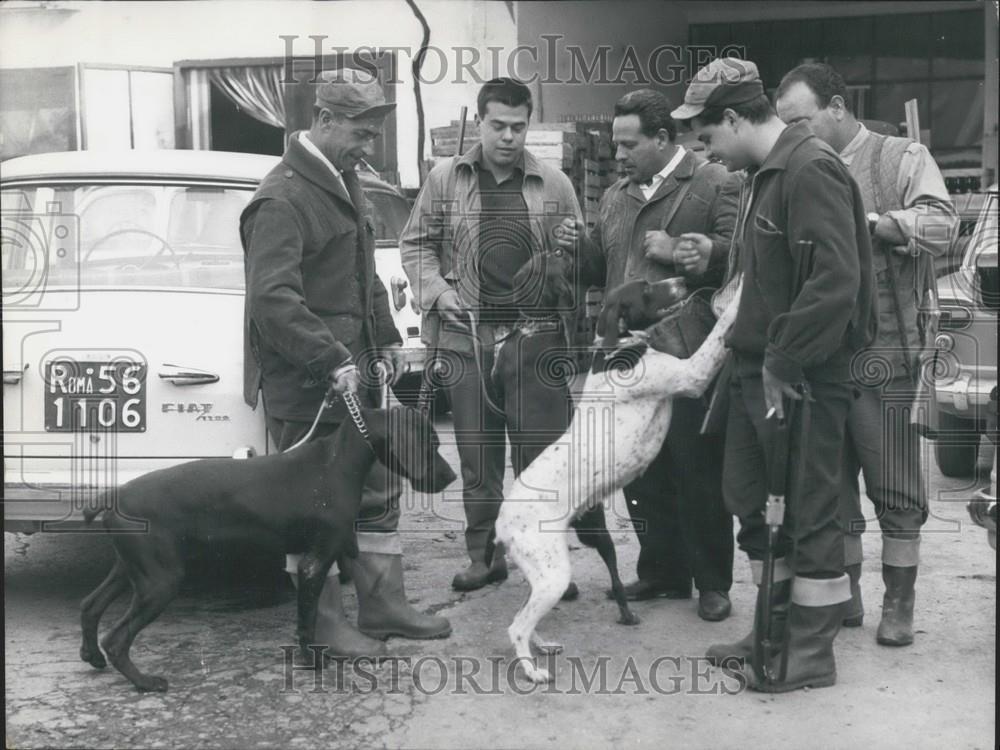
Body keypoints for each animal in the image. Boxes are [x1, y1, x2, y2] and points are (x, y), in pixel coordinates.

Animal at [494, 280, 744, 680]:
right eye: (646, 287)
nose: (682, 281)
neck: (617, 352)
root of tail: (502, 524)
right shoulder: (691, 374)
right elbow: (720, 331)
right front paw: (738, 291)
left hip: (542, 571)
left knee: (524, 616)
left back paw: (543, 645)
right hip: (553, 574)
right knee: (517, 626)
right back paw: (532, 671)